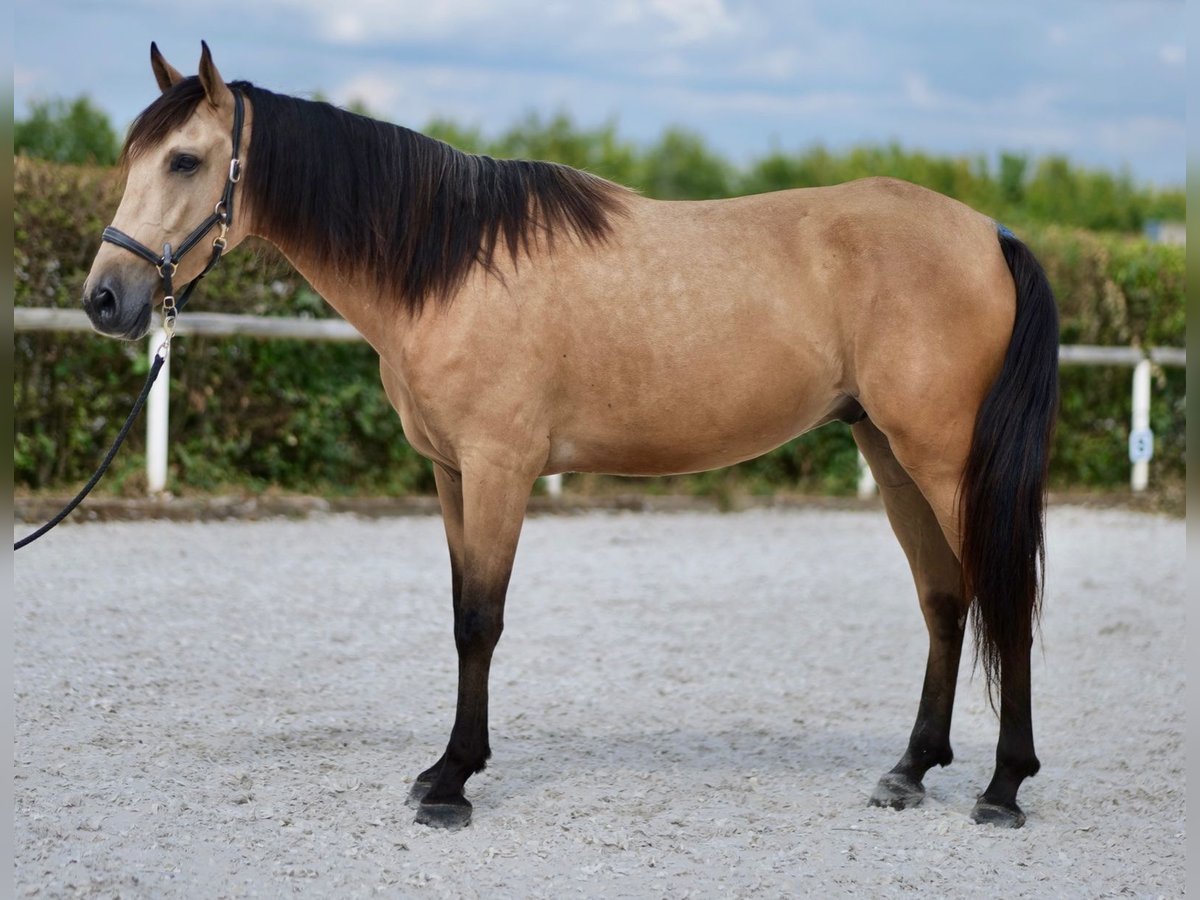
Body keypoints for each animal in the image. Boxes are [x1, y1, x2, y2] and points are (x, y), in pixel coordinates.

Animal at [82, 42, 1060, 830]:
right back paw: (910, 770)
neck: (450, 265)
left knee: (1002, 598)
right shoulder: (450, 473)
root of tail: (990, 232)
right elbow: (458, 612)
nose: (105, 299)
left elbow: (481, 619)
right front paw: (447, 768)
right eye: (132, 157)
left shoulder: (500, 467)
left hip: (943, 458)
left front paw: (451, 785)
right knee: (944, 598)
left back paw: (1003, 789)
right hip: (889, 454)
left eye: (184, 159)